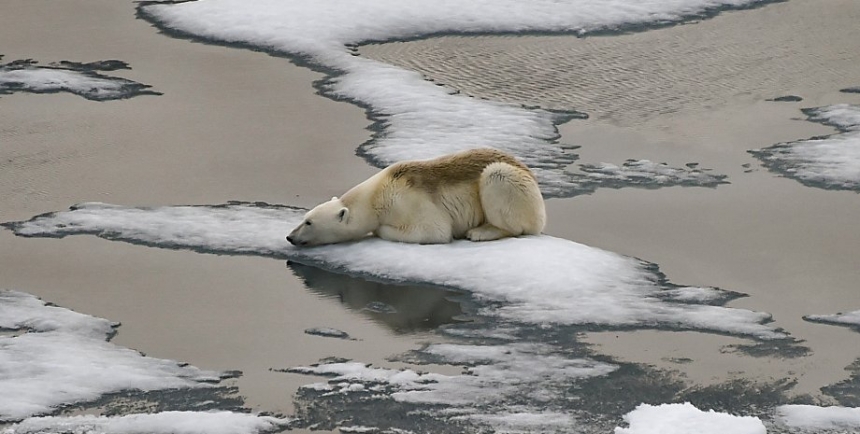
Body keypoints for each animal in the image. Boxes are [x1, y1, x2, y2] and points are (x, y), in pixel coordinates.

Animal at [288, 148, 544, 246]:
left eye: (309, 222)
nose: (290, 237)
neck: (377, 194)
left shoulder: (408, 200)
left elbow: (434, 230)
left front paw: (380, 230)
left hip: (516, 186)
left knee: (497, 178)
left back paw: (481, 232)